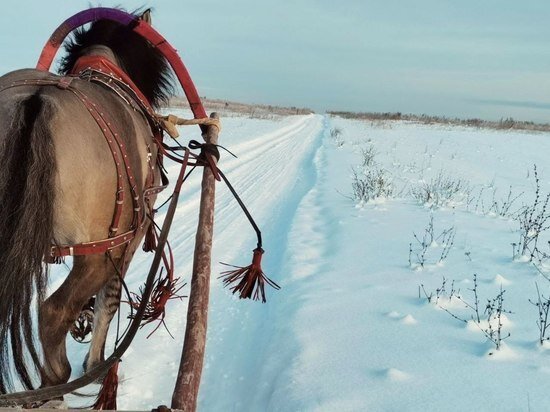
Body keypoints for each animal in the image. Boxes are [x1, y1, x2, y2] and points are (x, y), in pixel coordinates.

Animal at [0, 8, 176, 392]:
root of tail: (36, 102)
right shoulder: (124, 243)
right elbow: (109, 302)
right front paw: (95, 364)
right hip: (98, 251)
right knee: (53, 314)